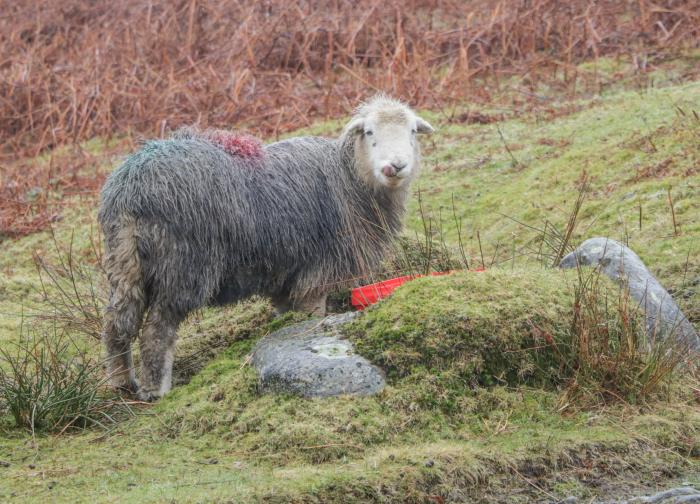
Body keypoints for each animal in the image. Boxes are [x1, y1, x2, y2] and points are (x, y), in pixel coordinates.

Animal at [100, 95, 432, 402]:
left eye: (412, 131)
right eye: (369, 132)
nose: (396, 166)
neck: (350, 178)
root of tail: (132, 188)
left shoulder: (284, 275)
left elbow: (287, 314)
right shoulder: (318, 270)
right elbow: (312, 315)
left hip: (124, 260)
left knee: (117, 323)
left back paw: (121, 382)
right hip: (184, 264)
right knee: (157, 330)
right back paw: (156, 390)